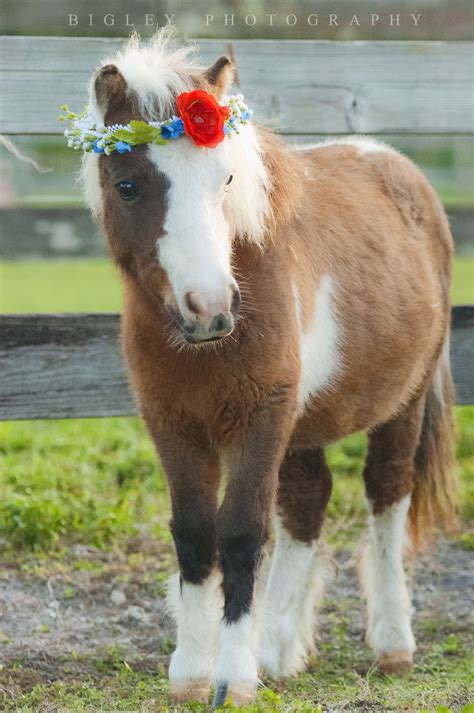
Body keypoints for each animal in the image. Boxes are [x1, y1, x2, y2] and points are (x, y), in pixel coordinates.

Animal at [78, 31, 457, 708]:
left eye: (225, 176)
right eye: (126, 185)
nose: (210, 308)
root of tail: (396, 164)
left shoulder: (260, 419)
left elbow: (241, 534)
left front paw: (233, 676)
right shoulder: (173, 422)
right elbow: (195, 532)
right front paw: (192, 671)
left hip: (402, 404)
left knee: (387, 496)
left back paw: (392, 644)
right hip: (301, 425)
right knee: (307, 503)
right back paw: (277, 649)